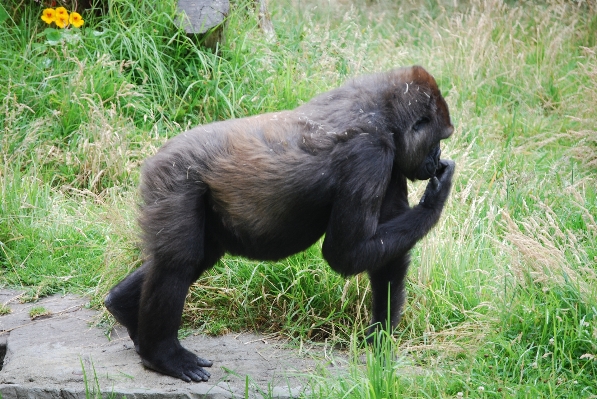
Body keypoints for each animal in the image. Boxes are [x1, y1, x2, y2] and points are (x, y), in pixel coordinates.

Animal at [105, 65, 454, 382]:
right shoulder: (371, 154)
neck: (384, 112)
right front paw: (434, 200)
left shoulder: (391, 162)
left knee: (196, 256)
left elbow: (386, 260)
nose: (437, 157)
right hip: (174, 177)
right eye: (438, 138)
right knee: (178, 263)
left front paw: (380, 341)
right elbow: (346, 253)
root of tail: (155, 156)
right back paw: (163, 354)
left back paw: (123, 308)